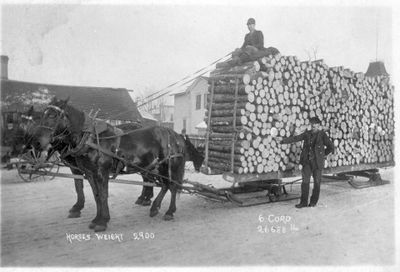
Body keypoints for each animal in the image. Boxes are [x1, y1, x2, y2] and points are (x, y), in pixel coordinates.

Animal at [34, 98, 195, 232]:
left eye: (53, 115)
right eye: (43, 115)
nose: (38, 142)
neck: (91, 139)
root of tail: (176, 135)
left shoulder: (101, 172)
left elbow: (103, 195)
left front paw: (102, 222)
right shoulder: (90, 173)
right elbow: (96, 195)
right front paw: (96, 219)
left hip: (170, 165)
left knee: (172, 186)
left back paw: (169, 211)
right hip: (157, 166)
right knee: (165, 185)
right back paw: (154, 207)